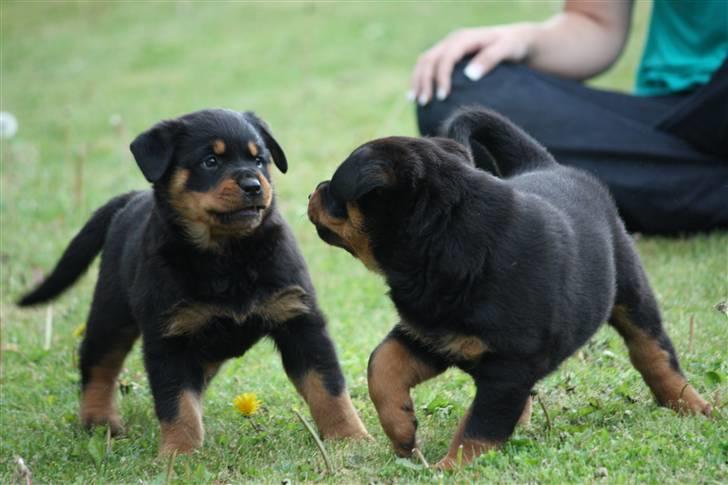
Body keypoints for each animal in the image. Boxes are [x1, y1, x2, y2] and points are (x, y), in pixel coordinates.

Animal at [19, 108, 366, 456]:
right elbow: (176, 402)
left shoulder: (299, 317)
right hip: (111, 312)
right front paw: (179, 452)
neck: (228, 255)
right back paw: (99, 420)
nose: (254, 185)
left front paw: (351, 437)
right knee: (98, 363)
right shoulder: (168, 337)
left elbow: (328, 386)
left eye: (259, 160)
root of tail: (131, 198)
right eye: (210, 161)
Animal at [308, 107, 712, 468]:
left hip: (629, 285)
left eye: (334, 192)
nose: (314, 190)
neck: (443, 236)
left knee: (652, 348)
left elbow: (480, 427)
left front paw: (451, 468)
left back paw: (689, 403)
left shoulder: (510, 365)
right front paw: (402, 431)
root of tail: (546, 165)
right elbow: (382, 364)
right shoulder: (429, 333)